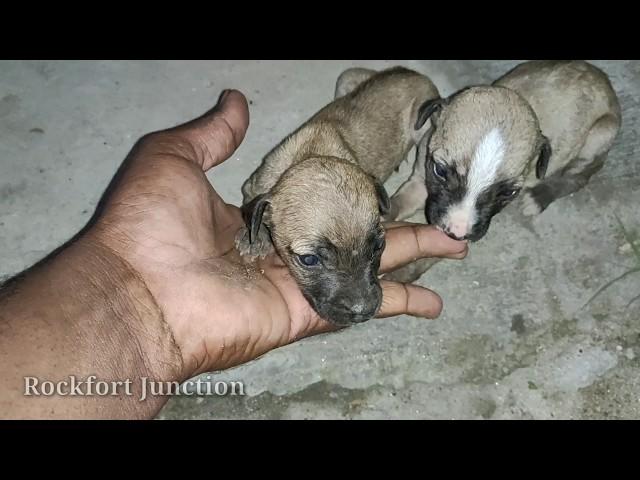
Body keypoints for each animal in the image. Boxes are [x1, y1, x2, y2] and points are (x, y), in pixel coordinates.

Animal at [235, 64, 440, 326]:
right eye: (309, 260)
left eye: (379, 246)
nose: (363, 310)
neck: (312, 152)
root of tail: (410, 71)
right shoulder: (253, 185)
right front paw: (256, 237)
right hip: (347, 80)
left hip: (423, 126)